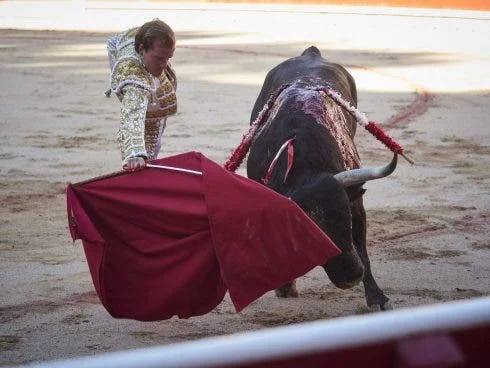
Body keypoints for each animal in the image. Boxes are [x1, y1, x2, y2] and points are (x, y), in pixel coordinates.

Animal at [247, 45, 396, 310]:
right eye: (306, 236)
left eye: (346, 219)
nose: (350, 277)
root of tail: (311, 53)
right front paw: (285, 286)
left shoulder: (356, 203)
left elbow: (363, 250)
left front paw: (378, 298)